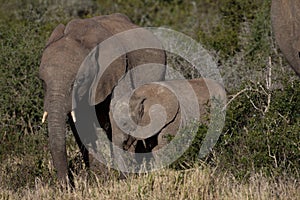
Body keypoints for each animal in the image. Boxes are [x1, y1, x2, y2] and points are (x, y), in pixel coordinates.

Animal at [38, 13, 165, 182]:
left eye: (79, 81)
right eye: (42, 81)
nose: (68, 185)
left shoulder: (119, 68)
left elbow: (120, 113)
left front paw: (122, 178)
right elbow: (82, 127)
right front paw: (97, 178)